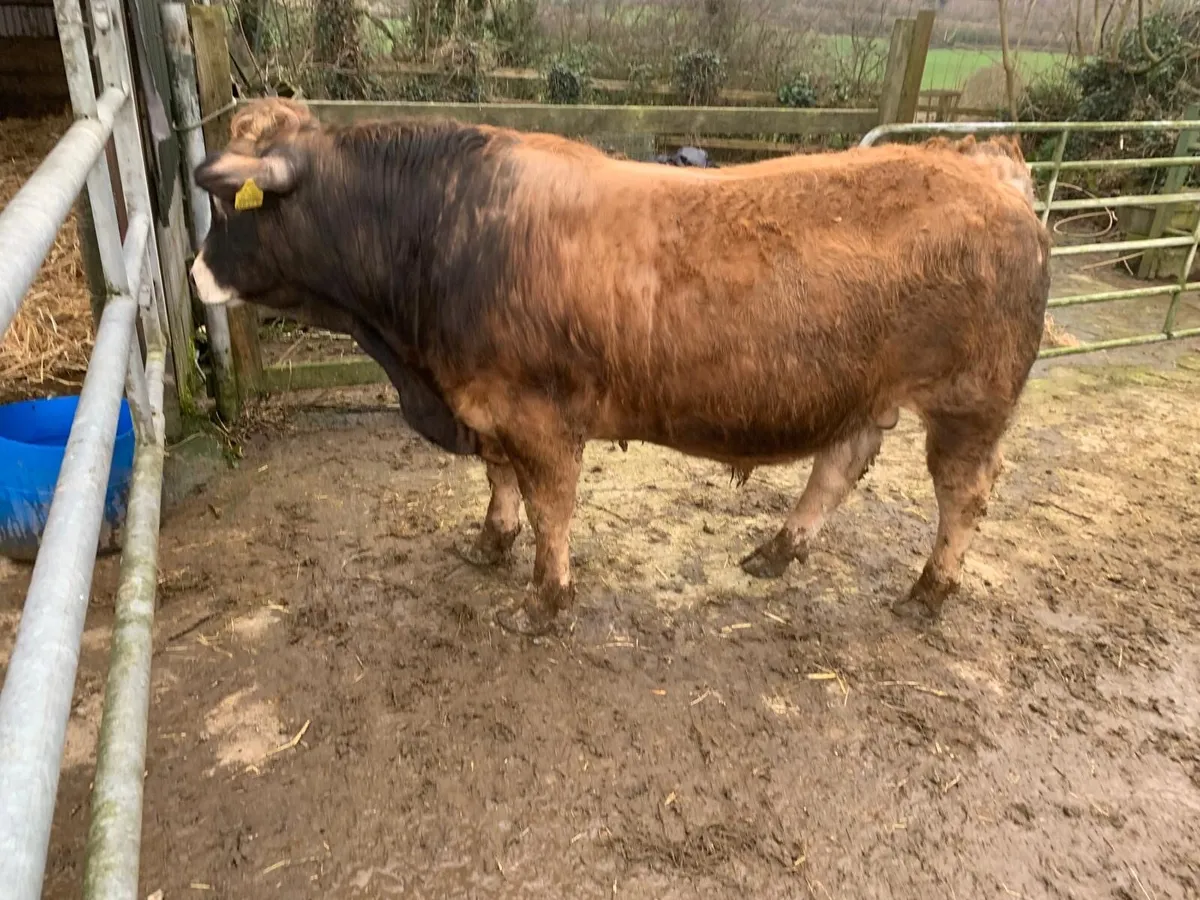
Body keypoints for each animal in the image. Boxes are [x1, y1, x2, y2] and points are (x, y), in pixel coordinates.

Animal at [190, 98, 1050, 635]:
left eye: (230, 205)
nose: (195, 275)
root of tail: (984, 164)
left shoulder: (535, 412)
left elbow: (551, 508)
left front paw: (544, 601)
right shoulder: (483, 400)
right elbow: (499, 480)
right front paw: (490, 543)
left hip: (971, 403)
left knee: (965, 495)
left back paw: (928, 592)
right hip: (867, 390)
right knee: (840, 465)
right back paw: (777, 551)